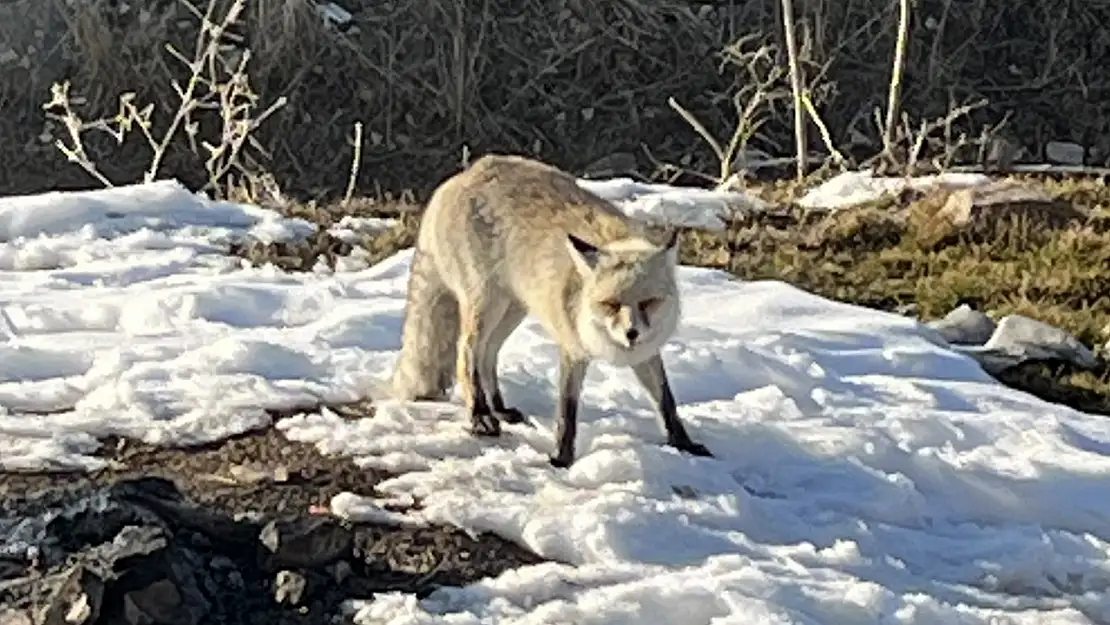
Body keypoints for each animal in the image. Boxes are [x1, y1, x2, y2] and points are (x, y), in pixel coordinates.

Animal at [386, 155, 714, 470]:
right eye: (609, 304)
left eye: (648, 302)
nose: (631, 333)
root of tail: (462, 176)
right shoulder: (573, 348)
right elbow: (567, 413)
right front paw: (562, 458)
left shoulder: (646, 353)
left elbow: (666, 402)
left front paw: (683, 444)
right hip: (486, 306)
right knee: (466, 355)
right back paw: (480, 414)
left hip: (512, 309)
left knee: (487, 354)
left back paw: (499, 408)